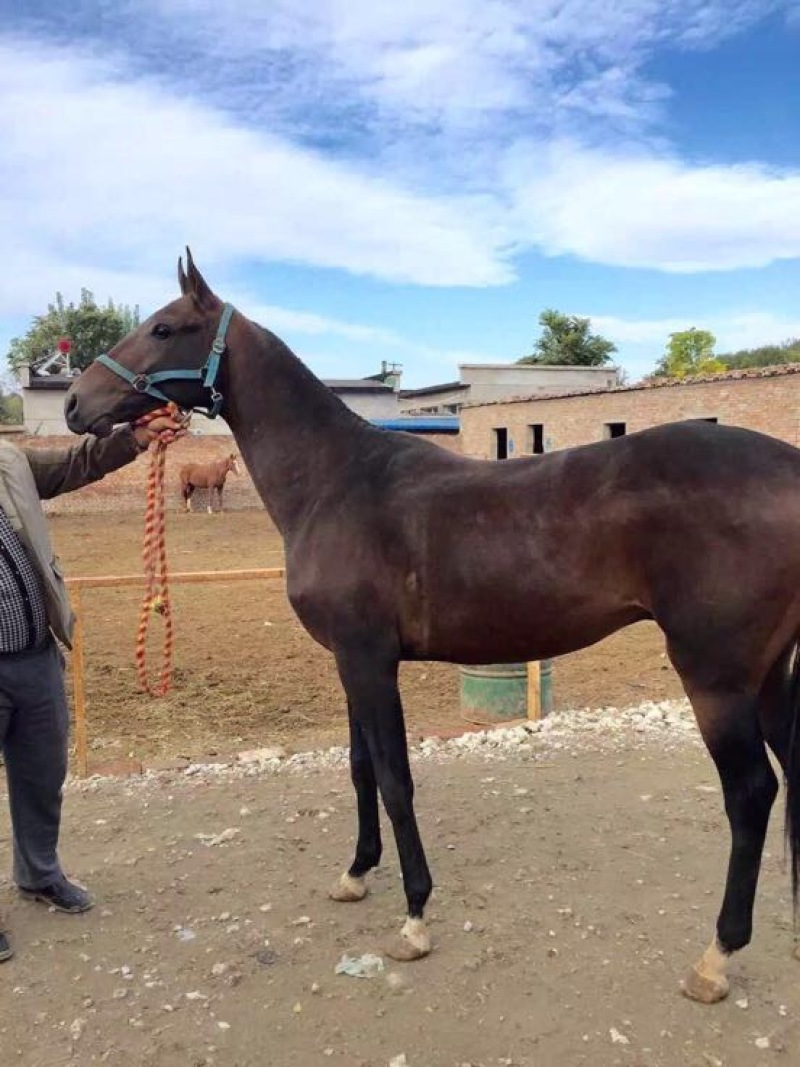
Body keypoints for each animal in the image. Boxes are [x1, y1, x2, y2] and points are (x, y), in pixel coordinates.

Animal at [64, 250, 800, 1004]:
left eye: (164, 327)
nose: (74, 404)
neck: (337, 481)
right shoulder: (348, 662)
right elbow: (360, 768)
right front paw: (356, 873)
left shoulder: (368, 659)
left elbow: (395, 779)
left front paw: (415, 914)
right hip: (771, 675)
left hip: (716, 678)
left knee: (752, 795)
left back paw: (716, 957)